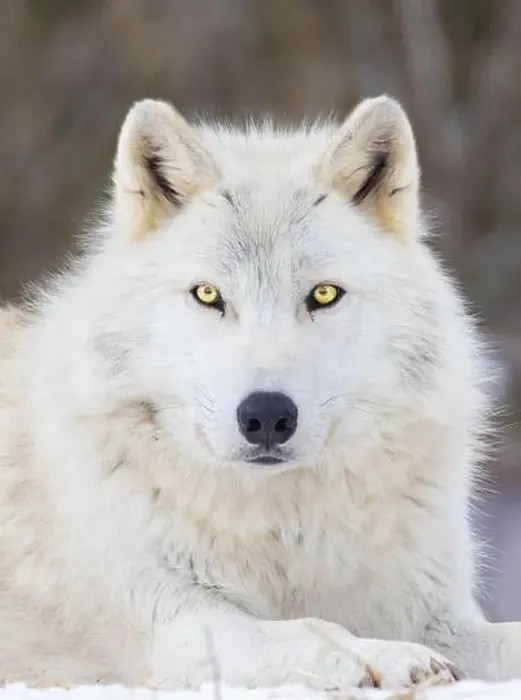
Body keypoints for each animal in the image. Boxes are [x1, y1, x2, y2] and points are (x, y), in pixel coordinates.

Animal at [0, 95, 519, 690]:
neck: (281, 527)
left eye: (324, 294)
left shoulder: (434, 612)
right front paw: (382, 657)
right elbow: (307, 629)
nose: (267, 415)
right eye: (208, 295)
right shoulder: (177, 624)